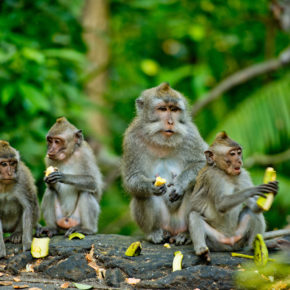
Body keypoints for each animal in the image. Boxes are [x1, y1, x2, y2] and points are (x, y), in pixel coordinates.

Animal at [121, 82, 207, 245]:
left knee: (196, 186)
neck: (162, 142)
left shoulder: (191, 135)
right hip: (163, 221)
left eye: (174, 109)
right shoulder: (132, 138)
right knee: (141, 196)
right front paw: (150, 186)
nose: (171, 122)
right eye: (162, 109)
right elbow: (132, 178)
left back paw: (186, 234)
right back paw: (154, 232)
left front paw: (180, 184)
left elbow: (203, 164)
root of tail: (173, 229)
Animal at [187, 133, 280, 262]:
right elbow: (221, 204)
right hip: (216, 241)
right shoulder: (212, 176)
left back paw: (253, 246)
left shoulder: (243, 174)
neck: (225, 173)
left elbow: (254, 207)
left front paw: (273, 190)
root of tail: (230, 243)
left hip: (239, 236)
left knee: (251, 212)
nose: (239, 161)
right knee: (194, 215)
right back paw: (202, 250)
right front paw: (252, 190)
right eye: (232, 154)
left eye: (239, 152)